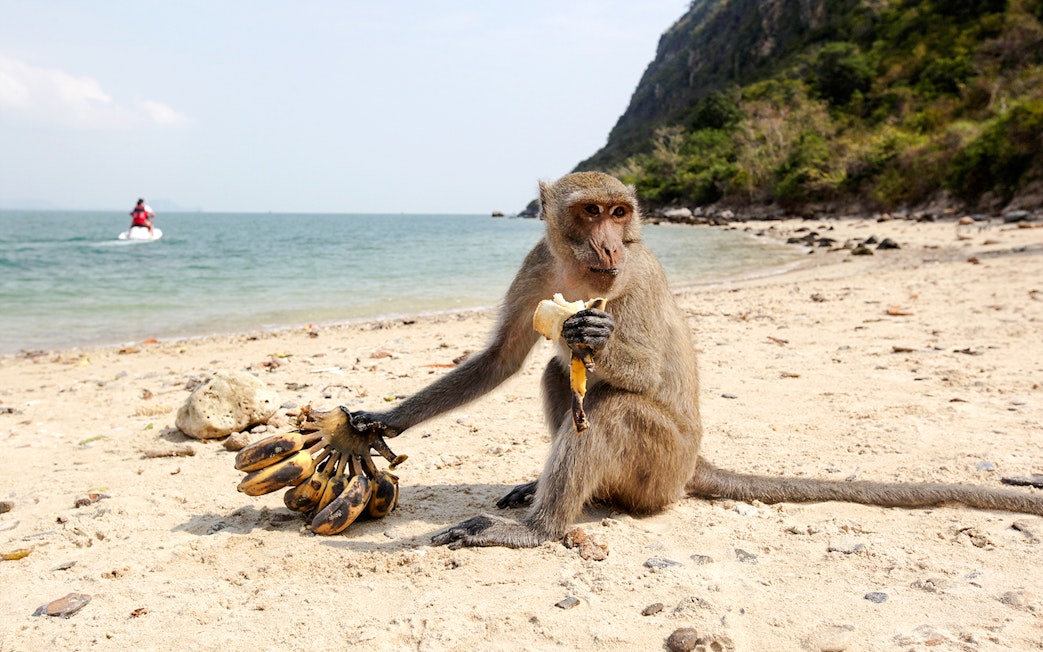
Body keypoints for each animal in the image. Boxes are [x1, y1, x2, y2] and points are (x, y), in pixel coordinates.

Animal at [353, 171, 1043, 549]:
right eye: (589, 212)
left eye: (619, 214)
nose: (610, 243)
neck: (581, 273)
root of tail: (694, 464)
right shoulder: (536, 268)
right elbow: (501, 359)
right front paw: (380, 421)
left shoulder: (633, 279)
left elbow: (643, 371)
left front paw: (591, 334)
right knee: (560, 377)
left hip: (661, 464)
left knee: (611, 409)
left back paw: (541, 528)